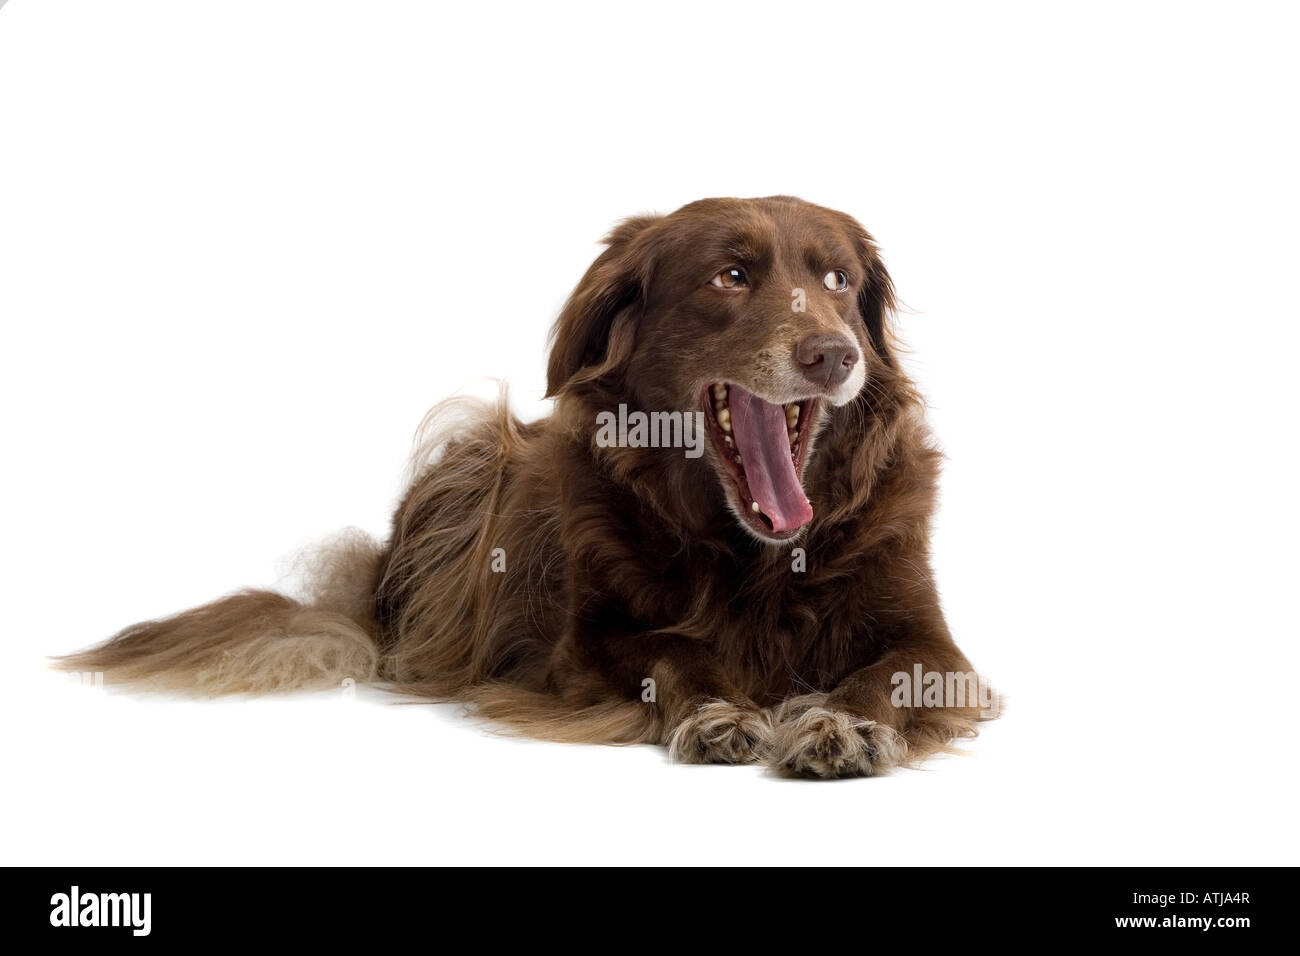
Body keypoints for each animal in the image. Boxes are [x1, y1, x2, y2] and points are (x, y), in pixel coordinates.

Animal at [61, 195, 993, 780]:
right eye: (731, 276)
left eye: (838, 282)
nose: (835, 354)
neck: (754, 555)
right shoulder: (589, 644)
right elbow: (675, 654)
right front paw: (719, 712)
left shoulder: (936, 646)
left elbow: (887, 678)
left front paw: (841, 721)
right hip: (474, 447)